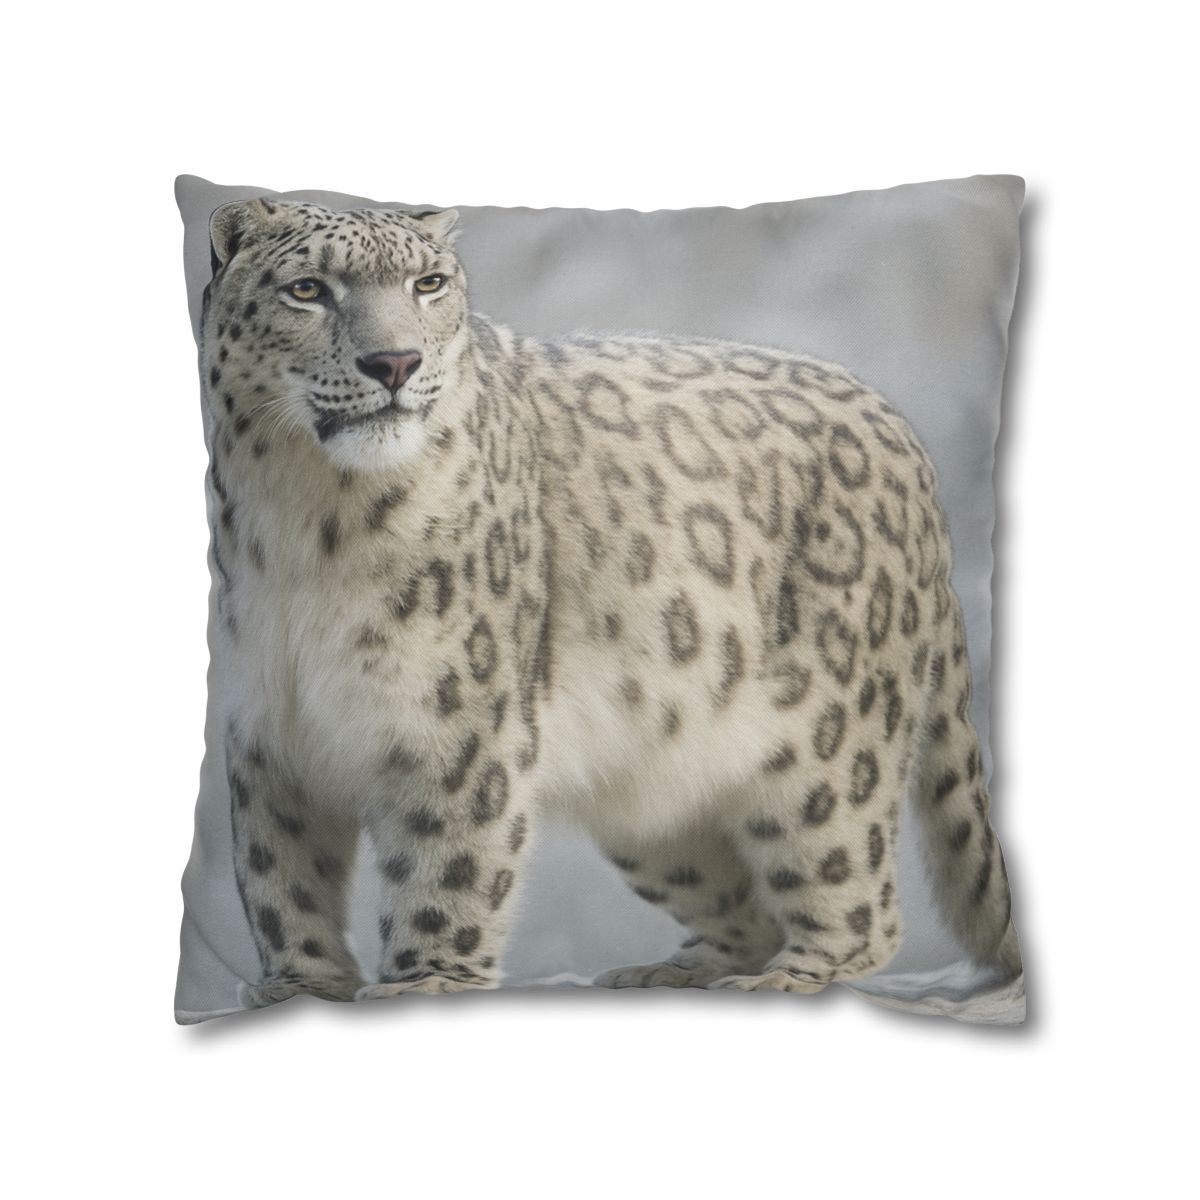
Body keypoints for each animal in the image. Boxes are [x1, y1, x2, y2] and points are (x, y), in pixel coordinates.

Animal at [200, 197, 1020, 1007]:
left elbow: (446, 863)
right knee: (741, 901)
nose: (396, 362)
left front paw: (426, 982)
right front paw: (301, 986)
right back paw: (674, 971)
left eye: (428, 284)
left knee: (855, 896)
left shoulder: (456, 723)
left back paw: (789, 978)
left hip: (831, 750)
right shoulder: (268, 733)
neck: (307, 520)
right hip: (653, 799)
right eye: (308, 289)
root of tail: (902, 432)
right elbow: (279, 876)